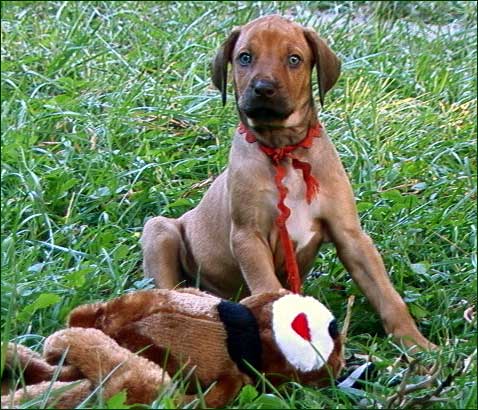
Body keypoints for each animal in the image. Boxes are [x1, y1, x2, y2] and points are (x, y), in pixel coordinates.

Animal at [141, 15, 434, 350]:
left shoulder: (351, 236)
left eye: (294, 59)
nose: (263, 88)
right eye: (245, 57)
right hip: (159, 229)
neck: (284, 149)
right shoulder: (248, 236)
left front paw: (417, 344)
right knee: (166, 291)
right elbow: (268, 288)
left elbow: (387, 294)